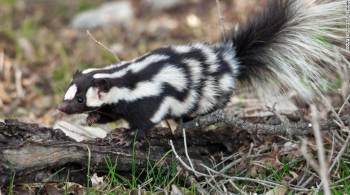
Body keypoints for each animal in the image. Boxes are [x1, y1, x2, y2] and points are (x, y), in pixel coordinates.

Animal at [58, 0, 346, 133]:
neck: (123, 79)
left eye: (81, 98)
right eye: (68, 94)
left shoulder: (151, 97)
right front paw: (95, 118)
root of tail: (230, 60)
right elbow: (111, 112)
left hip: (210, 92)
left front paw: (130, 133)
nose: (61, 108)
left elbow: (147, 118)